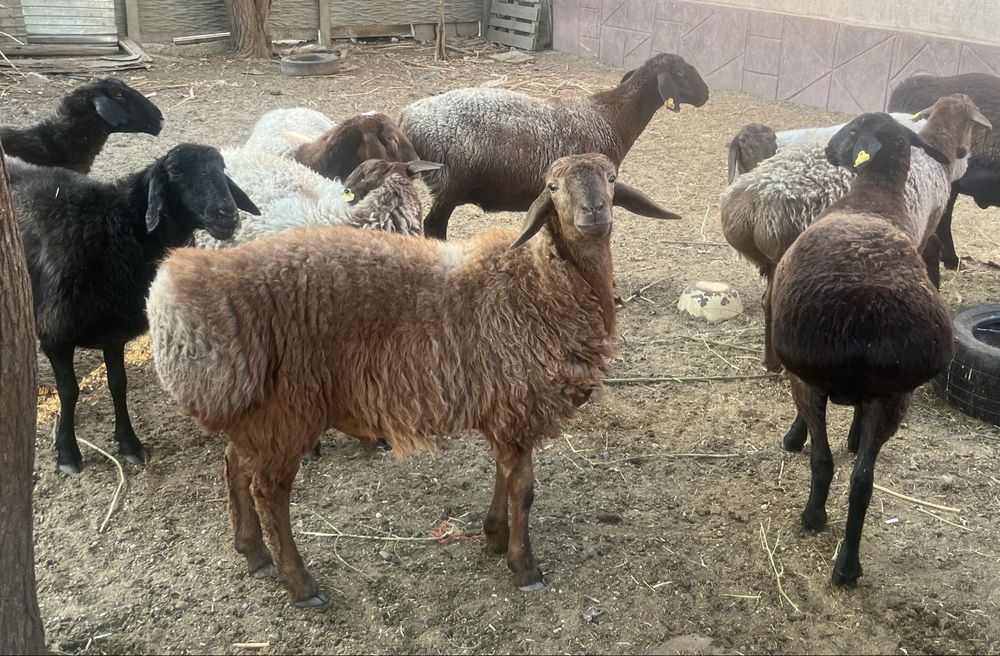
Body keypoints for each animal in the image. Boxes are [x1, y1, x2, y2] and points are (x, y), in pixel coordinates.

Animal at [12, 145, 260, 474]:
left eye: (221, 168)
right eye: (175, 174)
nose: (227, 215)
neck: (112, 231)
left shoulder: (113, 333)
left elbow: (118, 384)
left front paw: (130, 444)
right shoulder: (56, 335)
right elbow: (69, 391)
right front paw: (67, 454)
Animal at [146, 153, 681, 607]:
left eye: (611, 178)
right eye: (552, 186)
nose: (594, 213)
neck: (537, 284)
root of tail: (184, 292)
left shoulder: (502, 409)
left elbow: (505, 476)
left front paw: (492, 535)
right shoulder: (518, 403)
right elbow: (524, 489)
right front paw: (524, 566)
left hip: (255, 413)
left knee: (234, 464)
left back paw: (253, 553)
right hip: (287, 413)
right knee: (268, 493)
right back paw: (300, 584)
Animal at [400, 52, 709, 239]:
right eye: (681, 74)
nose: (705, 94)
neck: (613, 115)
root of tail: (407, 118)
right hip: (450, 185)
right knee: (433, 226)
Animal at [770, 113, 955, 587]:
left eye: (852, 129)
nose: (828, 150)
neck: (874, 198)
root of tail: (864, 316)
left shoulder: (803, 377)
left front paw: (793, 438)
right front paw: (853, 437)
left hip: (812, 380)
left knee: (823, 461)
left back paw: (813, 517)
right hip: (894, 397)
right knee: (862, 482)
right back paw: (848, 566)